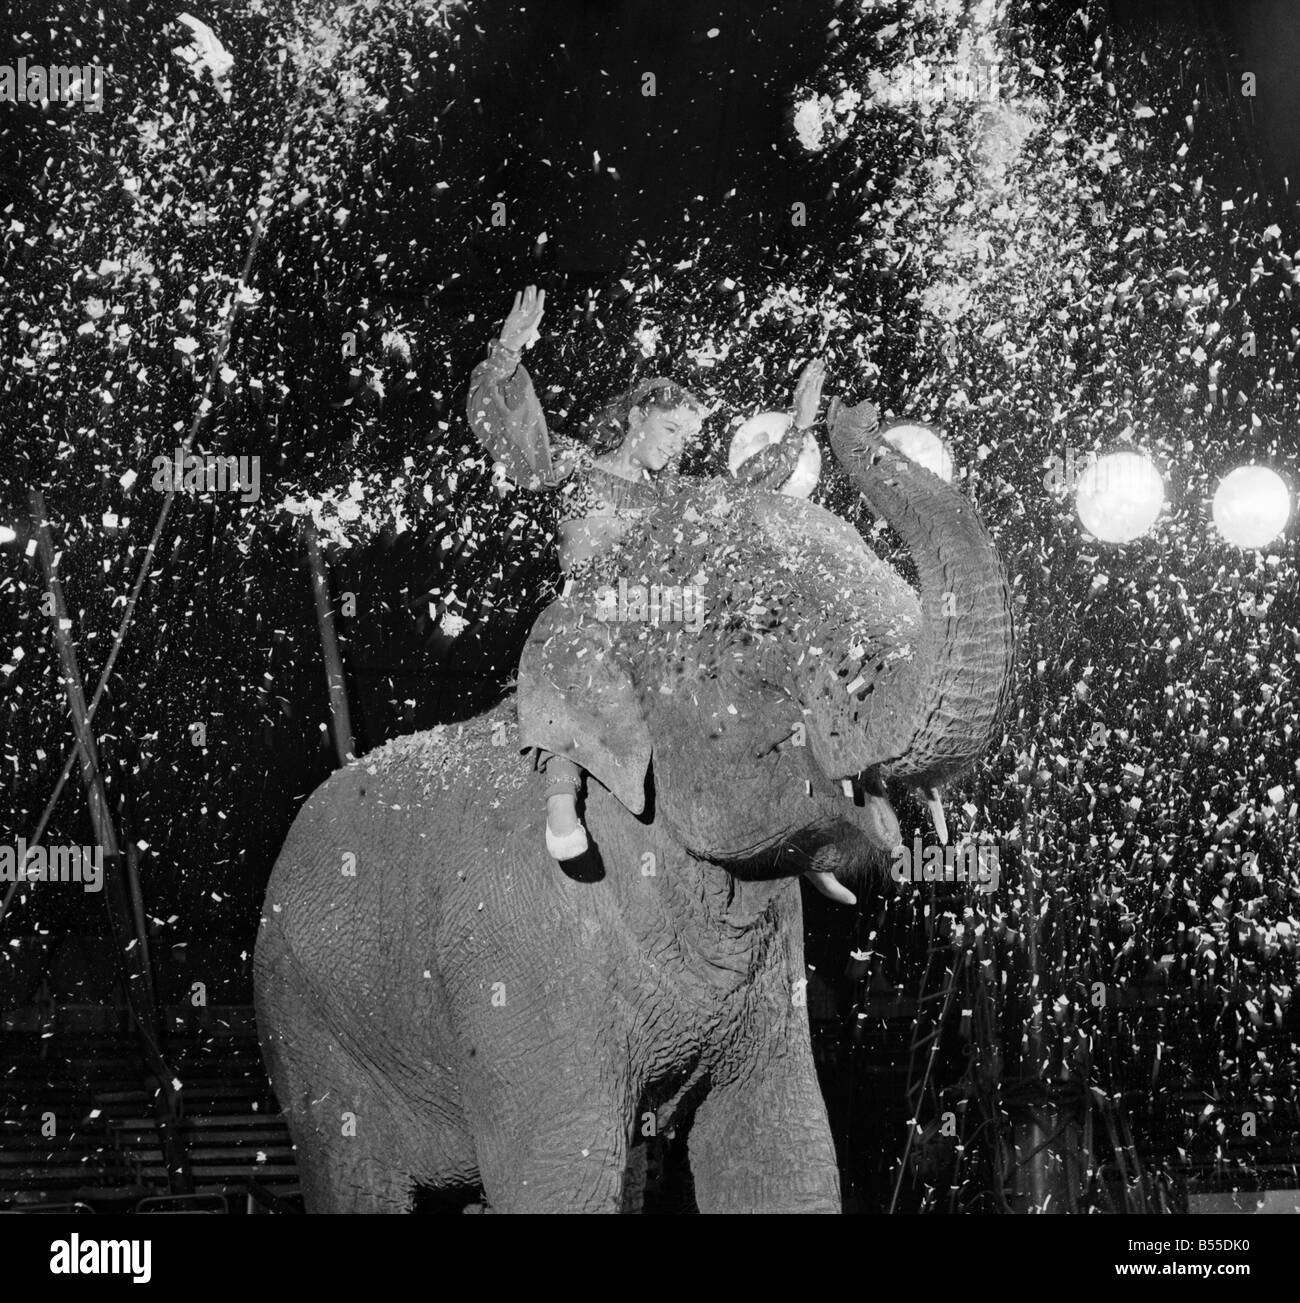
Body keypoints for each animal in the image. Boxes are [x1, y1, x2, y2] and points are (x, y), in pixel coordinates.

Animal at [252, 402, 1015, 1212]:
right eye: (762, 621)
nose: (854, 411)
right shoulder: (520, 952)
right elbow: (564, 1173)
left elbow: (783, 1151)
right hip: (306, 1033)